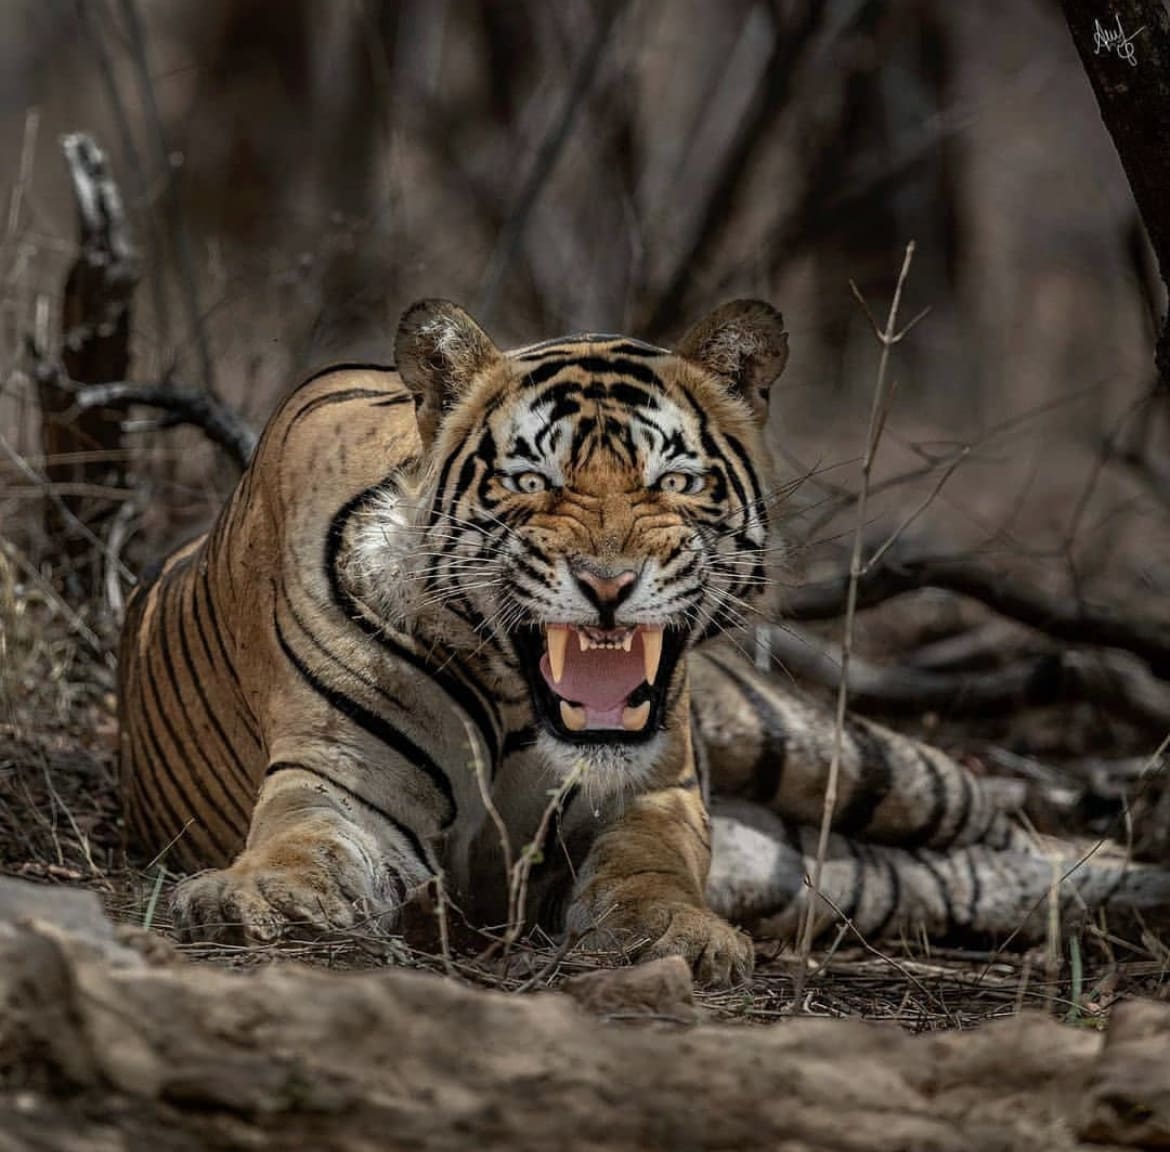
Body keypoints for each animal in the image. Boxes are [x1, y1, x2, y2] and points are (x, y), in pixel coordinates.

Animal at [116, 294, 1170, 977]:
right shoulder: (341, 783)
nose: (609, 584)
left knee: (996, 816)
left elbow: (651, 875)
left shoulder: (657, 797)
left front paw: (679, 939)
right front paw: (251, 897)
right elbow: (303, 847)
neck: (516, 699)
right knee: (958, 880)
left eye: (675, 480)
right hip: (815, 867)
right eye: (529, 480)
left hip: (824, 752)